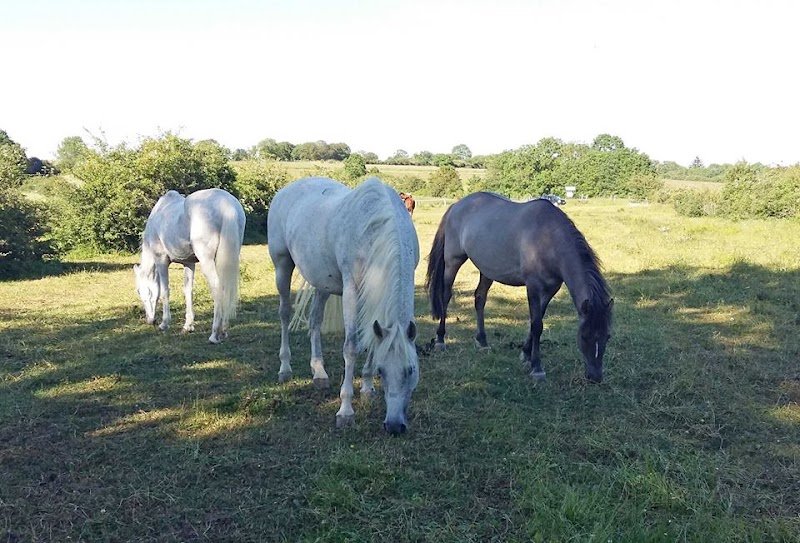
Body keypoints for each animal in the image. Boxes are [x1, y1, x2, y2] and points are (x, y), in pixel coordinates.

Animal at [134, 188, 246, 344]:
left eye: (140, 291)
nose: (150, 321)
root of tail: (226, 203)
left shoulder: (161, 260)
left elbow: (164, 291)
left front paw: (164, 323)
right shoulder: (189, 263)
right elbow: (188, 291)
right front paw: (188, 326)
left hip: (206, 260)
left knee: (217, 288)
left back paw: (214, 334)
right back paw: (223, 330)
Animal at [268, 177, 420, 434]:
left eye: (411, 370)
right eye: (382, 371)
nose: (394, 426)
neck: (376, 228)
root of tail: (286, 190)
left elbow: (371, 341)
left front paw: (367, 388)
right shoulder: (352, 291)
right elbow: (351, 347)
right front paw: (346, 410)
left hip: (322, 283)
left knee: (315, 321)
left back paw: (319, 373)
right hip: (282, 266)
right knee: (285, 314)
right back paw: (284, 368)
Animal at [425, 192, 613, 383]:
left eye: (607, 336)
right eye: (584, 336)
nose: (595, 377)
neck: (548, 239)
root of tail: (456, 206)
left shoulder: (550, 290)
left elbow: (537, 321)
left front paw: (526, 354)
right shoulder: (533, 287)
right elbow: (537, 325)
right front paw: (537, 368)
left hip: (487, 270)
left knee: (480, 298)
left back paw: (482, 342)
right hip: (452, 262)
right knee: (446, 296)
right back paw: (440, 339)